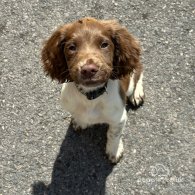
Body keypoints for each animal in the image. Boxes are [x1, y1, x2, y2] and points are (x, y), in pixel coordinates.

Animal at [41, 17, 145, 163]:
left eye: (104, 44)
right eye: (71, 47)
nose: (88, 69)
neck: (90, 96)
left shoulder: (119, 118)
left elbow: (113, 134)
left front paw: (114, 151)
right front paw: (79, 121)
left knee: (139, 70)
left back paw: (137, 94)